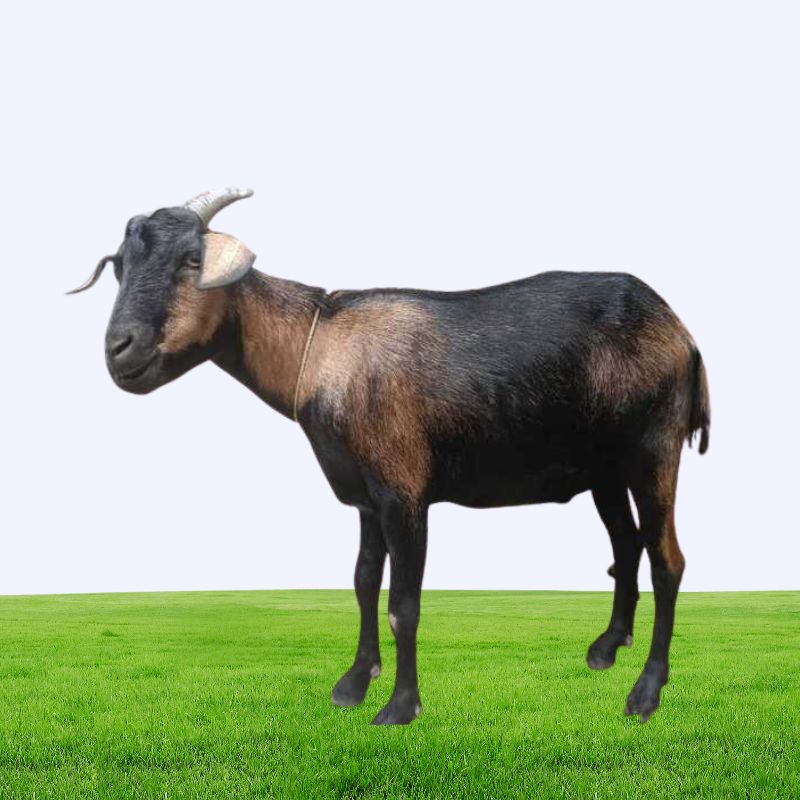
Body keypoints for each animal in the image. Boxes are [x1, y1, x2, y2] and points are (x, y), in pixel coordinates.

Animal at [70, 188, 710, 725]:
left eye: (190, 262)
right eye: (120, 267)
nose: (119, 349)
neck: (319, 347)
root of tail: (682, 332)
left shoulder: (404, 491)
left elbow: (404, 603)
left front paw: (400, 707)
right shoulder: (363, 496)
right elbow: (360, 582)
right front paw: (354, 683)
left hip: (654, 450)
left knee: (667, 560)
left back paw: (646, 692)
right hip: (605, 467)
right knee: (626, 547)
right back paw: (607, 648)